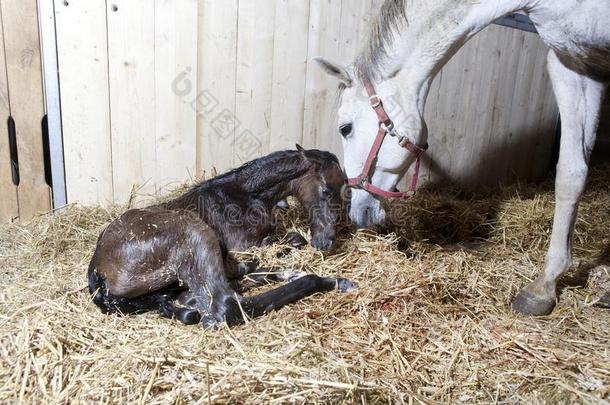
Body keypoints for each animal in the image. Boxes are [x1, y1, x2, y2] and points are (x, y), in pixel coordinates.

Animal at [87, 147, 354, 326]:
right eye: (326, 190)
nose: (326, 242)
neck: (244, 195)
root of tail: (97, 270)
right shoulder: (242, 246)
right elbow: (290, 240)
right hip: (193, 232)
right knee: (226, 305)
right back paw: (330, 281)